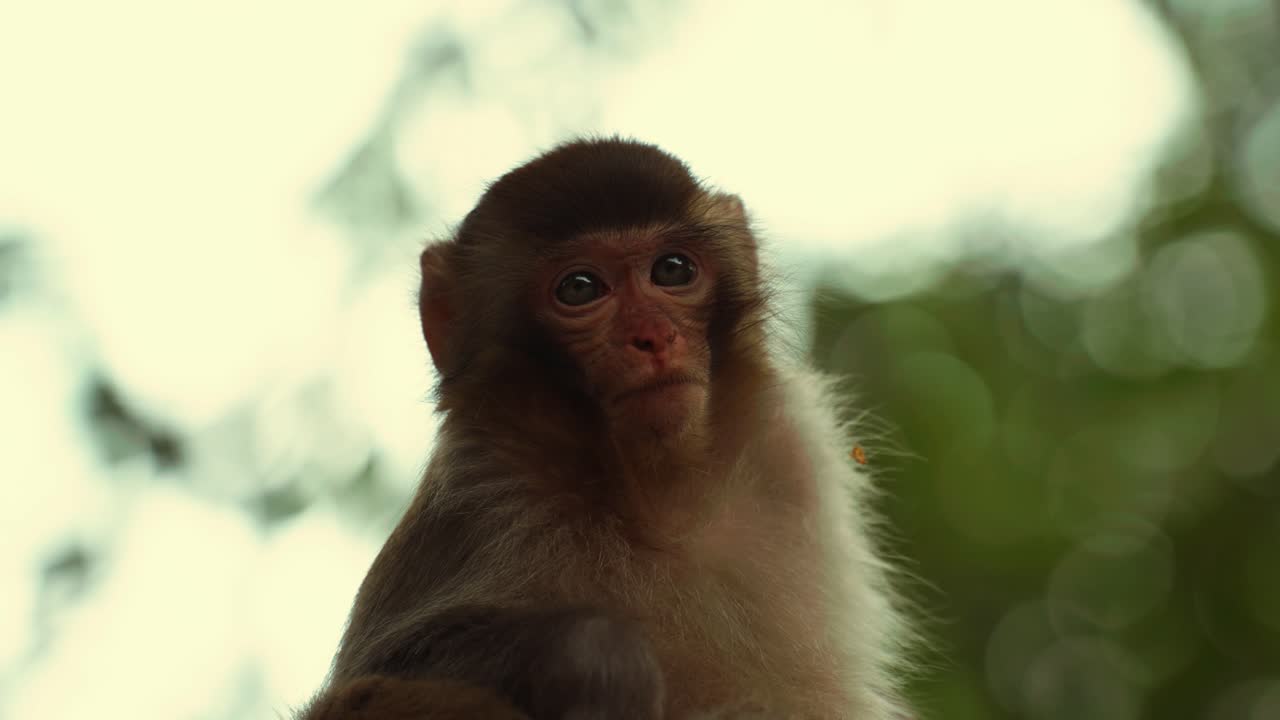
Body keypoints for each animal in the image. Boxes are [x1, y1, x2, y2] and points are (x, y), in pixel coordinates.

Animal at [298, 137, 912, 719]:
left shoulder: (791, 454)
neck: (657, 503)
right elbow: (382, 667)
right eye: (580, 288)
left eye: (672, 271)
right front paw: (597, 661)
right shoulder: (484, 500)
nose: (654, 337)